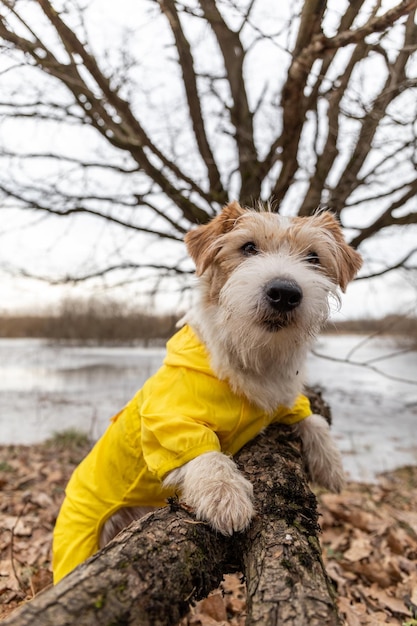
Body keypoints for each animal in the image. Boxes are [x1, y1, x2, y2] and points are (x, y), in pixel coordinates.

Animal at [52, 200, 360, 580]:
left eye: (314, 257)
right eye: (248, 247)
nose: (285, 292)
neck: (250, 357)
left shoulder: (285, 397)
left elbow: (311, 417)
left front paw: (332, 465)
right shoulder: (164, 420)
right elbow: (203, 451)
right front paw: (225, 495)